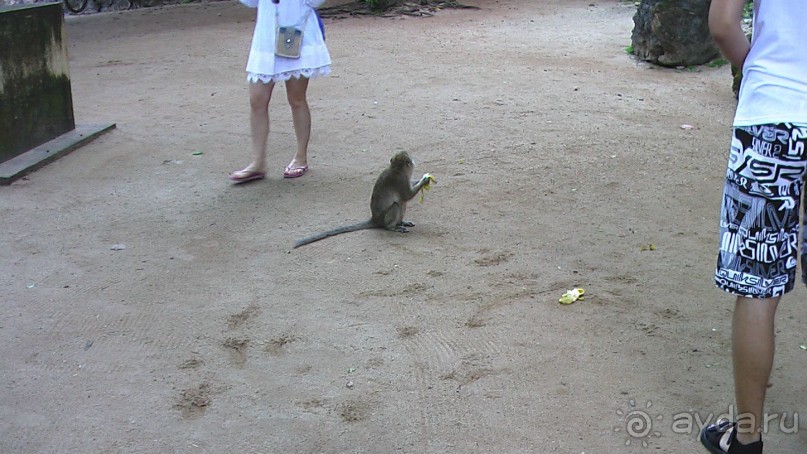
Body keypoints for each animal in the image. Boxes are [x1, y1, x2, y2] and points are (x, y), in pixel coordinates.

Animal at [294, 151, 436, 248]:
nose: (413, 161)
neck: (396, 169)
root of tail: (374, 219)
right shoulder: (399, 181)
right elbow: (407, 195)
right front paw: (424, 180)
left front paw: (420, 179)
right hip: (384, 218)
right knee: (397, 204)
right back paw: (392, 227)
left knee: (402, 204)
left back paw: (401, 222)